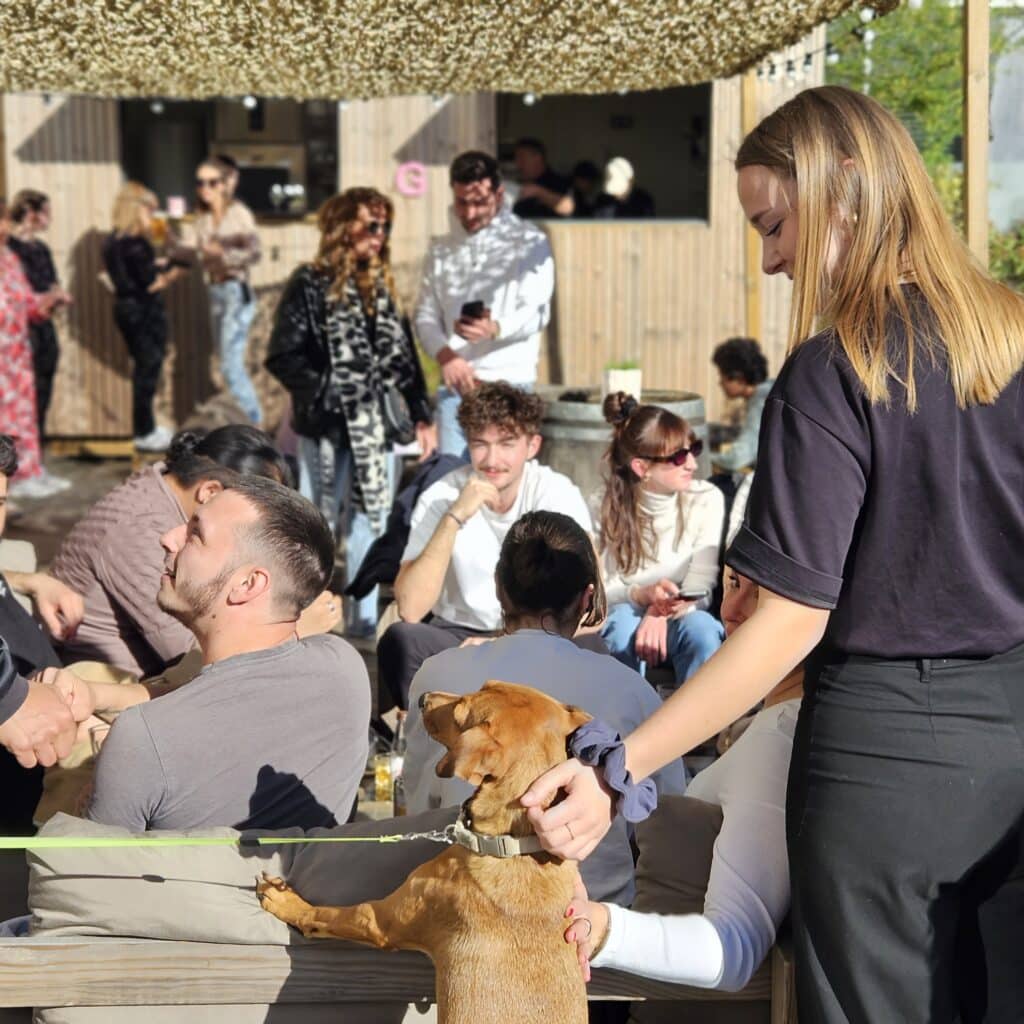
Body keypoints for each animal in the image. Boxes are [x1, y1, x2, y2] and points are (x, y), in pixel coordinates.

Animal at [256, 679, 593, 1024]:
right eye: (483, 685)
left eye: (461, 711)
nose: (421, 697)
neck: (513, 846)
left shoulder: (379, 920)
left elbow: (327, 914)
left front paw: (284, 900)